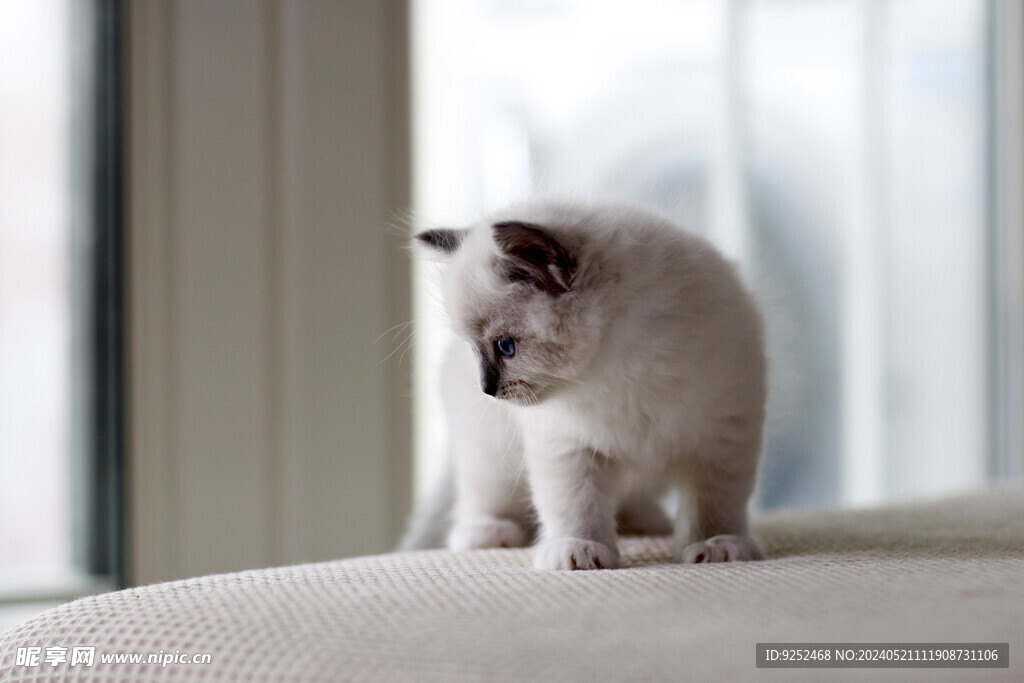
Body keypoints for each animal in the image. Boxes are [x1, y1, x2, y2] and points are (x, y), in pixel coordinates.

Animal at [403, 198, 765, 573]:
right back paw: (489, 533)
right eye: (476, 349)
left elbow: (713, 507)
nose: (486, 388)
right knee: (481, 497)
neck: (617, 372)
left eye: (506, 346)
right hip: (489, 449)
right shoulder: (568, 444)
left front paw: (716, 547)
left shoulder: (722, 436)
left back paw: (643, 522)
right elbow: (577, 505)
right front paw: (579, 553)